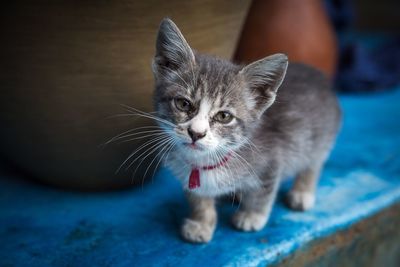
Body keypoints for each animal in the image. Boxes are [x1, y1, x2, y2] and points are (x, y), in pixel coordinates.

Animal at [150, 18, 340, 244]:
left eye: (224, 116)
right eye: (183, 104)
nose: (196, 133)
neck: (210, 160)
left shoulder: (272, 160)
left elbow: (263, 192)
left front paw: (252, 215)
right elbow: (199, 198)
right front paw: (201, 222)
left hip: (320, 136)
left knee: (313, 163)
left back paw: (303, 191)